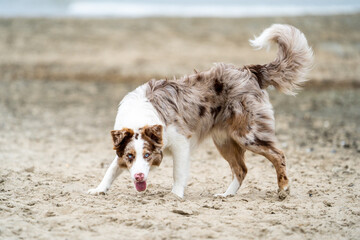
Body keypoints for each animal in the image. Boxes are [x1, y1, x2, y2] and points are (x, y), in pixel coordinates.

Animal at [87, 23, 312, 199]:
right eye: (130, 156)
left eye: (148, 154)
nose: (139, 176)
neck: (139, 118)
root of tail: (250, 71)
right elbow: (111, 169)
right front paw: (99, 189)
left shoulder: (180, 142)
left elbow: (178, 173)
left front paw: (175, 196)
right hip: (224, 140)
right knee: (241, 169)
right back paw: (227, 195)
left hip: (248, 135)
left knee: (278, 155)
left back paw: (283, 189)